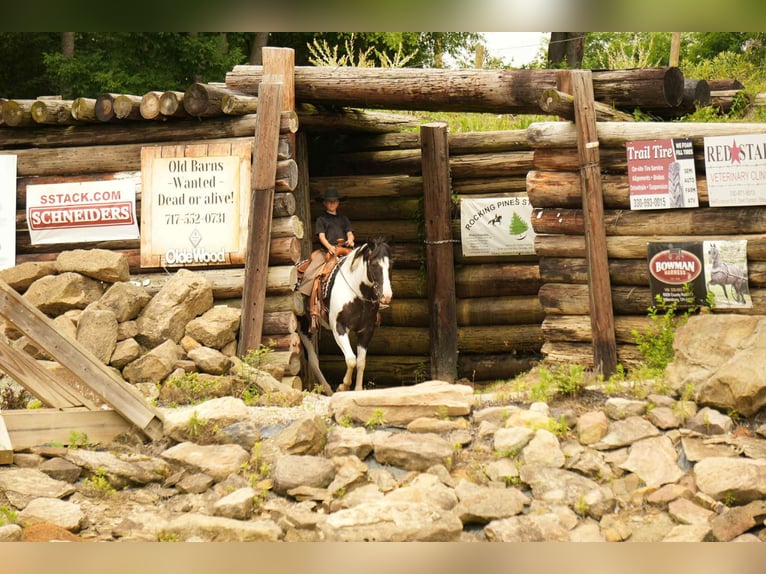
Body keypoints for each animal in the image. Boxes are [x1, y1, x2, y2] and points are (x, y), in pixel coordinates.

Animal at [297, 239, 393, 394]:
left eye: (391, 264)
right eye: (373, 264)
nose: (387, 296)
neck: (356, 294)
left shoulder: (366, 331)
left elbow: (360, 362)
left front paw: (358, 390)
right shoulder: (339, 328)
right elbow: (351, 359)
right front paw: (343, 386)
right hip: (303, 327)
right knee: (312, 359)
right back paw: (328, 390)